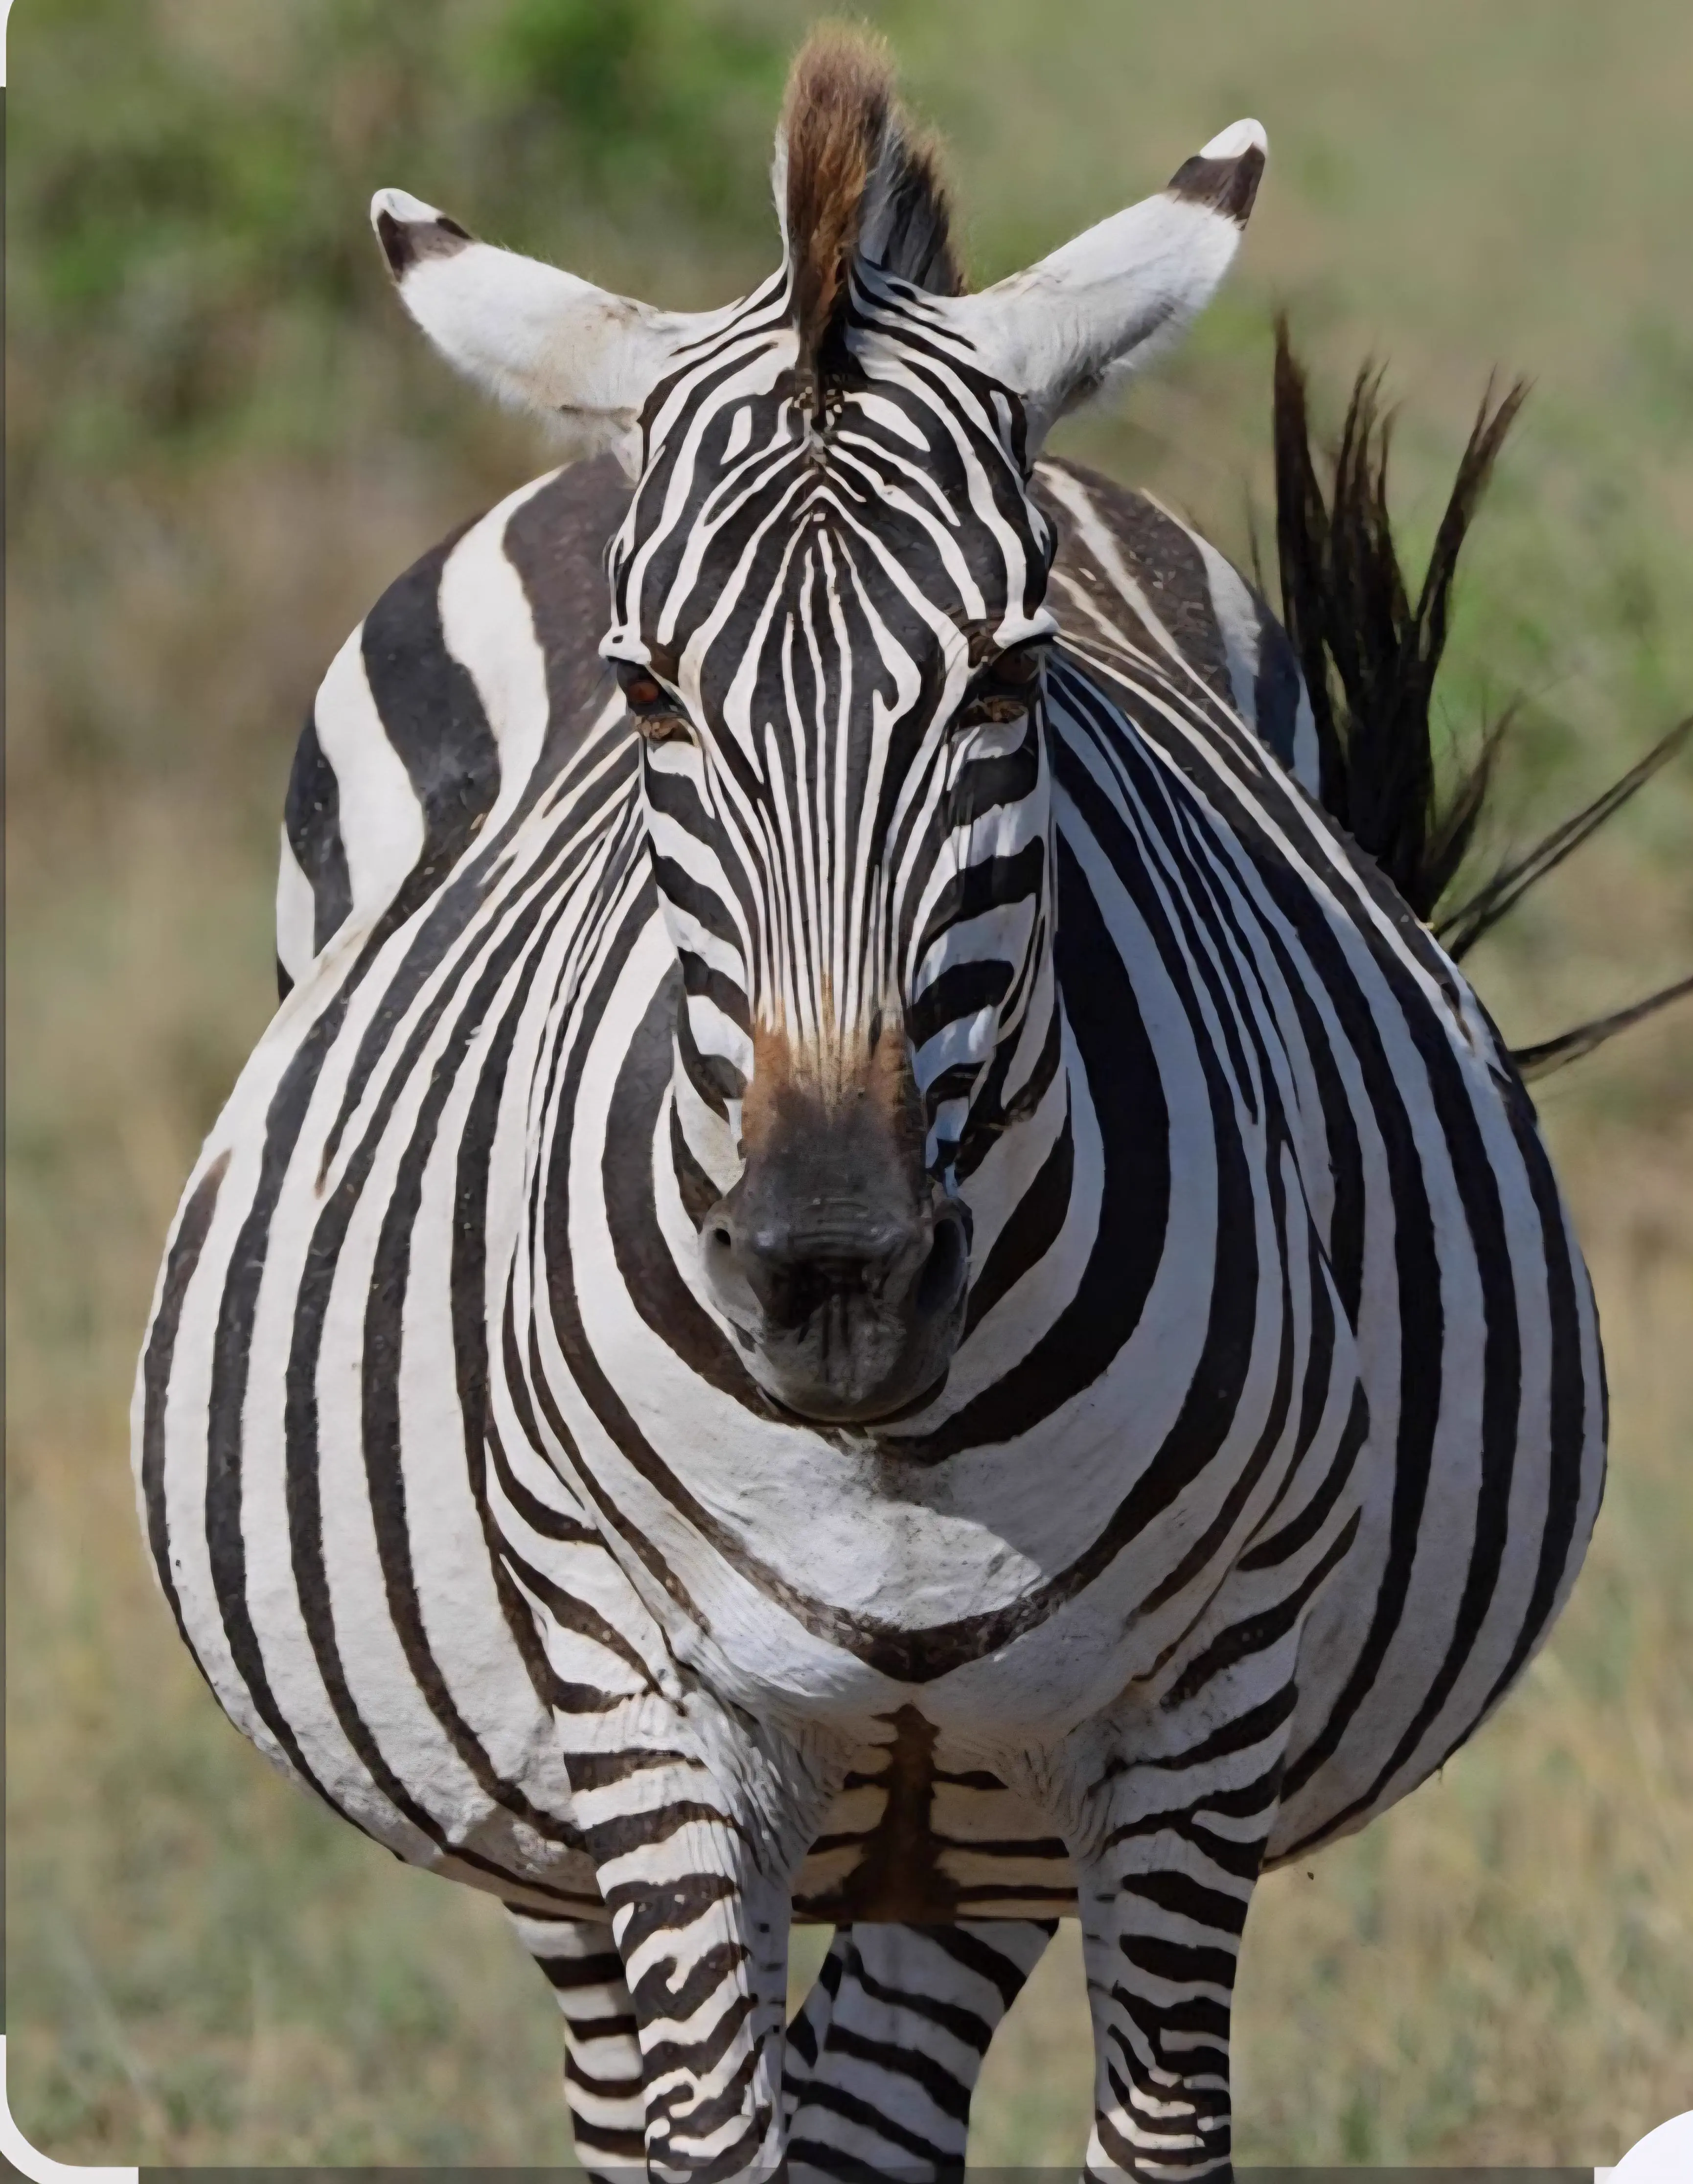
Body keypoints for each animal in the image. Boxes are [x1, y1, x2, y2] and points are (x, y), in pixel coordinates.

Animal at [138, 29, 1623, 2180]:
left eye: (1008, 679)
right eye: (648, 696)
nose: (832, 1276)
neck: (897, 1447)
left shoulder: (1197, 1702)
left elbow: (1154, 2135)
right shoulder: (640, 1698)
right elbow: (706, 2135)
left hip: (977, 1823)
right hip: (537, 1790)